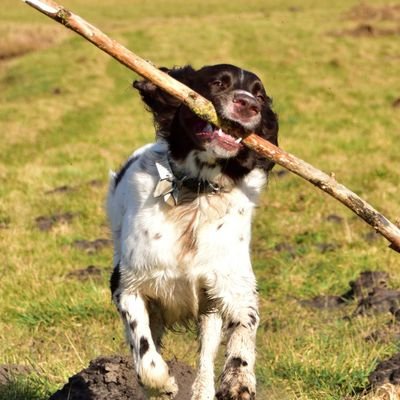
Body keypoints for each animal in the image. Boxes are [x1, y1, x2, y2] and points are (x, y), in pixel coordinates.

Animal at [108, 65, 280, 400]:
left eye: (260, 94)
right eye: (218, 82)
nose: (248, 104)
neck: (197, 192)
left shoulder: (232, 285)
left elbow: (245, 327)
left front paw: (239, 378)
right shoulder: (128, 284)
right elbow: (145, 352)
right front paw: (164, 382)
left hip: (209, 311)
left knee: (205, 359)